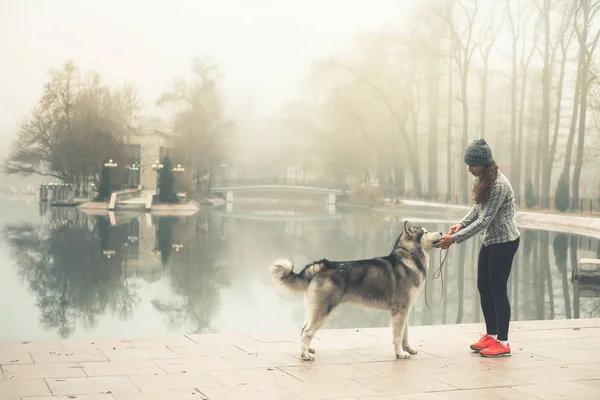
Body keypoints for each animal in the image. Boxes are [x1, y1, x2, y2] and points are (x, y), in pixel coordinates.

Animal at [270, 220, 442, 360]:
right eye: (425, 232)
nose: (441, 232)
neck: (409, 257)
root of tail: (324, 264)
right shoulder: (400, 310)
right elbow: (398, 336)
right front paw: (400, 353)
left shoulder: (405, 310)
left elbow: (405, 334)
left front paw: (408, 349)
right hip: (323, 310)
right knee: (307, 332)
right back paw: (305, 355)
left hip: (314, 308)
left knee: (304, 329)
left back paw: (308, 349)